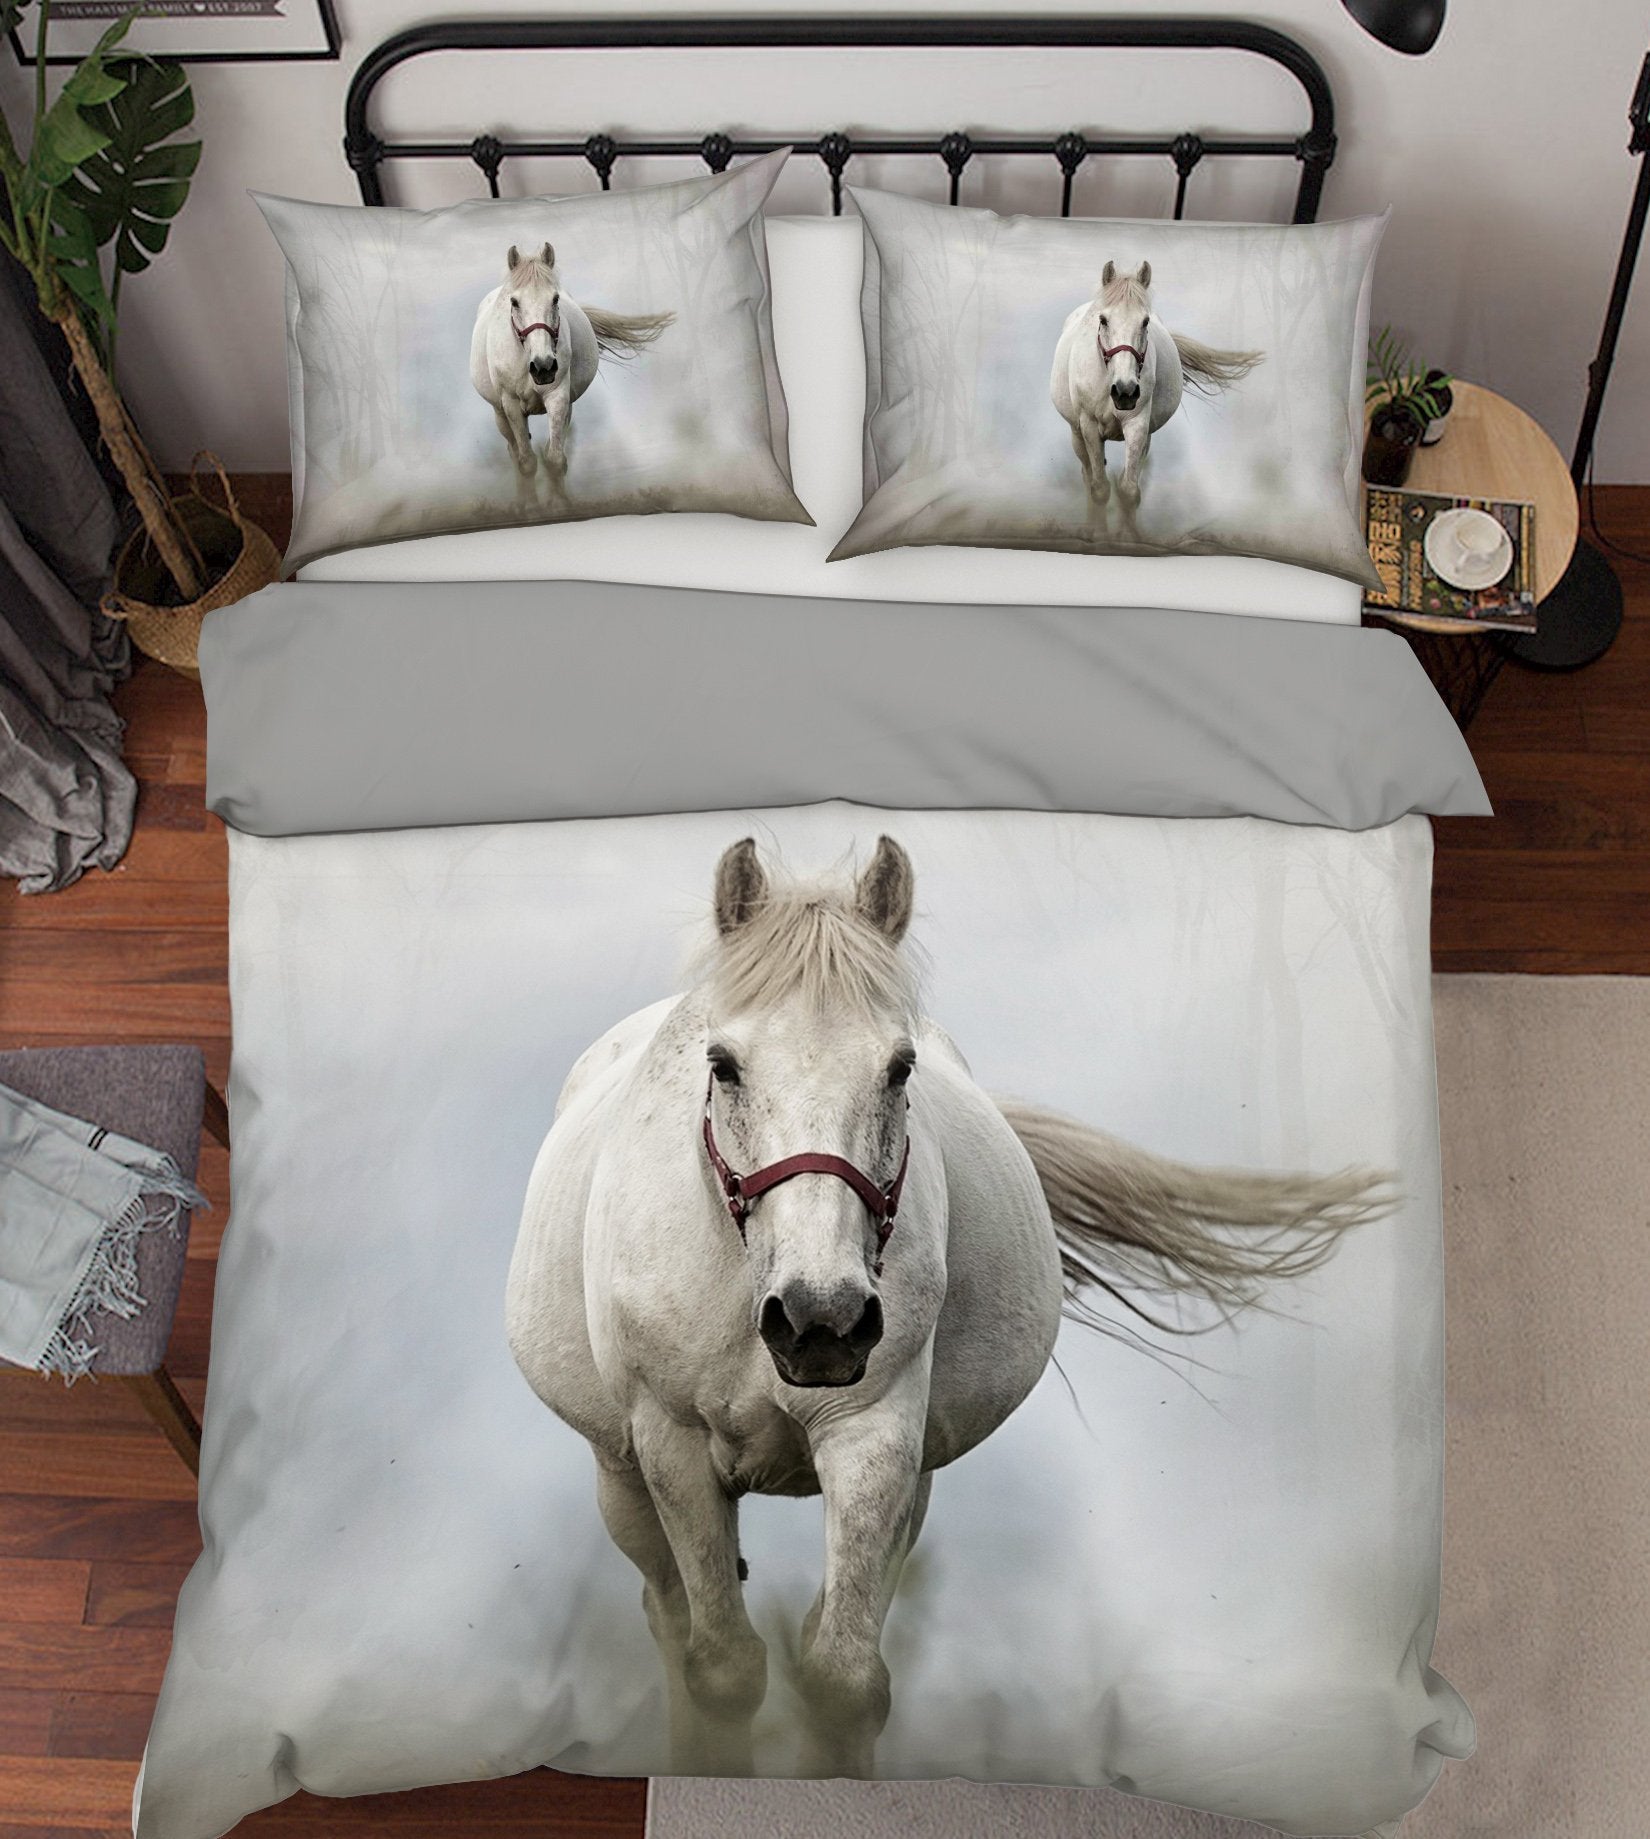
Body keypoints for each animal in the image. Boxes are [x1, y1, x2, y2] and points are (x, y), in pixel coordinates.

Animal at [469, 242, 674, 502]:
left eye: (555, 299)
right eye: (514, 302)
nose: (543, 366)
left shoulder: (558, 397)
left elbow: (555, 459)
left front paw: (559, 504)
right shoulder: (512, 404)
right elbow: (527, 462)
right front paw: (532, 507)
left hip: (567, 407)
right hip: (500, 413)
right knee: (514, 452)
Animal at [505, 836, 1391, 1779]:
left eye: (899, 1067)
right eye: (724, 1065)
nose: (819, 1320)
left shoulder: (877, 1436)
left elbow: (843, 1674)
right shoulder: (673, 1445)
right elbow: (722, 1668)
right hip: (621, 1474)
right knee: (669, 1619)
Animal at [1051, 259, 1263, 535]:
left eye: (1145, 322)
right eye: (1104, 320)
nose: (1125, 391)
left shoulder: (1138, 424)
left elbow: (1129, 490)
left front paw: (1127, 537)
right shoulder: (1089, 426)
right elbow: (1100, 488)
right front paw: (1101, 536)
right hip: (1077, 433)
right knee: (1088, 476)